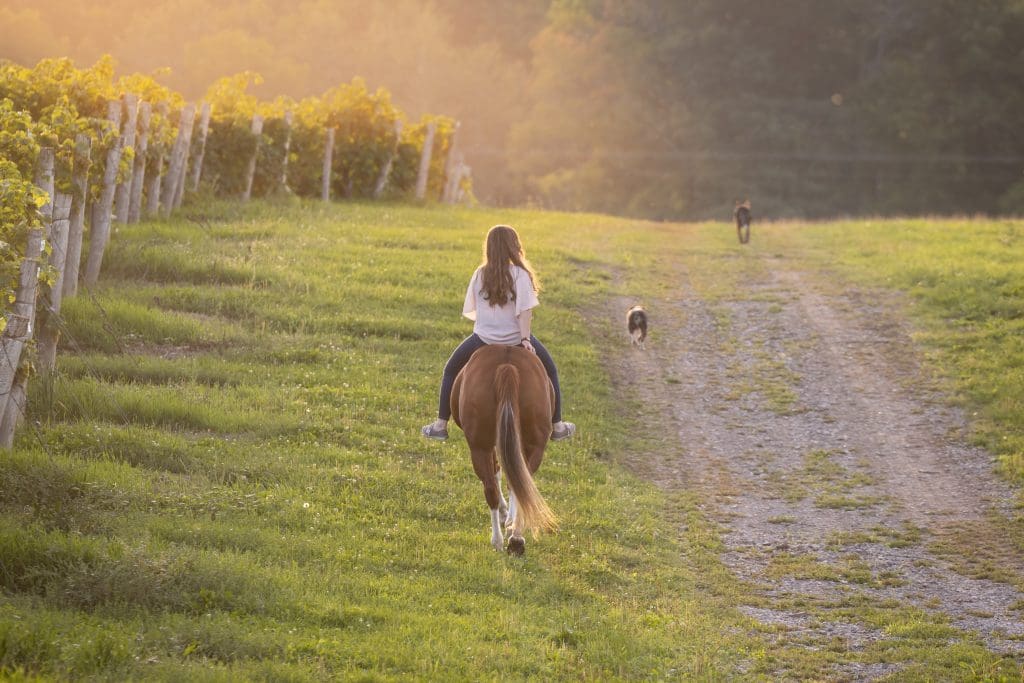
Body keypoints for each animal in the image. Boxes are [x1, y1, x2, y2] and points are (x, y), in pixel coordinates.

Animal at [450, 344, 558, 555]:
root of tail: (507, 367)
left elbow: (497, 472)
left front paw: (504, 515)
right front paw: (508, 520)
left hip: (480, 446)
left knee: (491, 486)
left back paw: (498, 540)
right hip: (533, 445)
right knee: (521, 484)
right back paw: (516, 539)